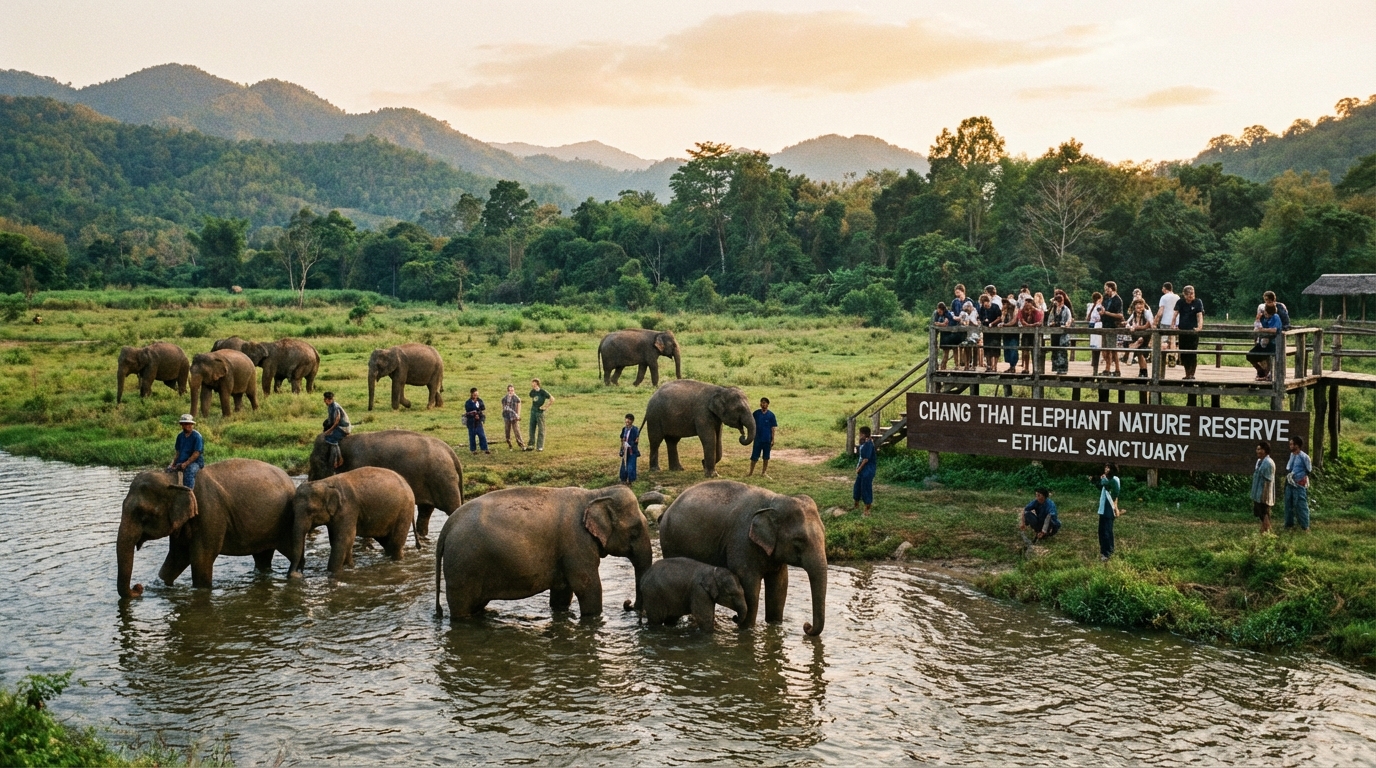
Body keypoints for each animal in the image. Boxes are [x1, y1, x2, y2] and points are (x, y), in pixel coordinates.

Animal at [116, 458, 296, 598]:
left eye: (142, 514)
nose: (138, 587)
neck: (174, 478)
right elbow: (176, 556)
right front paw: (161, 585)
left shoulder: (209, 513)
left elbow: (201, 558)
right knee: (262, 557)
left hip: (286, 523)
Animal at [307, 429, 463, 540]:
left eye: (315, 463)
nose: (313, 533)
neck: (341, 442)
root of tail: (451, 452)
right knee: (425, 511)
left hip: (443, 479)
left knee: (452, 507)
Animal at [434, 485, 652, 620]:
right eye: (634, 532)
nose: (627, 604)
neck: (595, 494)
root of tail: (448, 525)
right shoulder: (576, 542)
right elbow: (587, 587)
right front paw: (594, 618)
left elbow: (563, 593)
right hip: (462, 566)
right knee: (462, 607)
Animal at [659, 480, 827, 636]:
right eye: (798, 541)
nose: (806, 626)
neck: (774, 500)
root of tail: (668, 509)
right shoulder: (742, 541)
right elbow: (750, 588)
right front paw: (746, 630)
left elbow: (780, 587)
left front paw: (775, 626)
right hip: (671, 542)